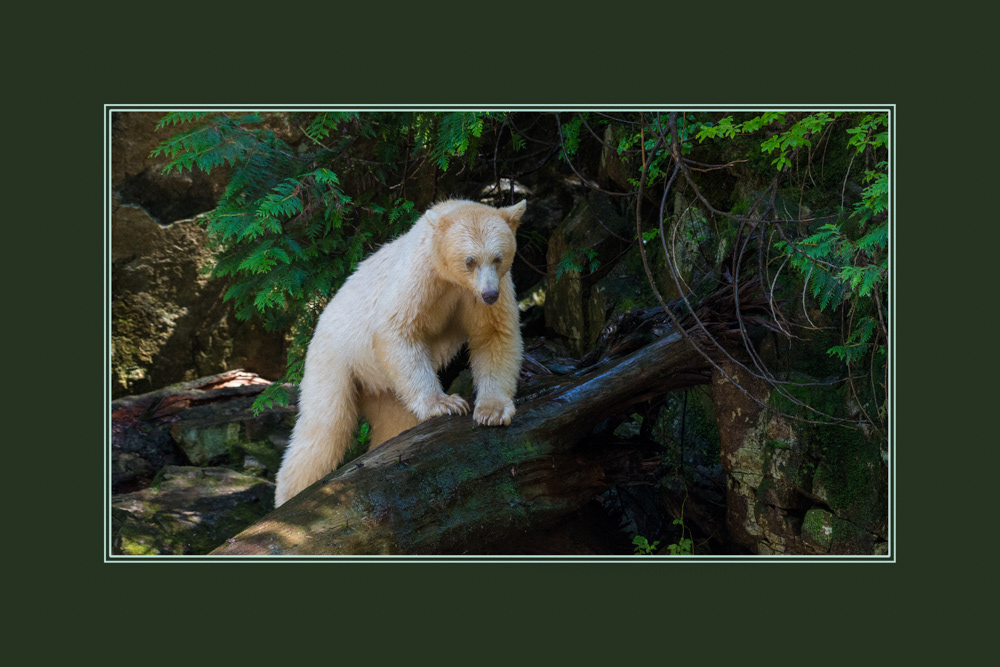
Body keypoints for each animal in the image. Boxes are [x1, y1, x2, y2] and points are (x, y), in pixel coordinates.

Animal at [273, 198, 527, 507]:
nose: (489, 294)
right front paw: (446, 404)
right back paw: (289, 495)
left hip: (387, 389)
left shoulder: (487, 292)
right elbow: (396, 329)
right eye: (470, 260)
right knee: (325, 427)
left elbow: (494, 334)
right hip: (334, 359)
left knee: (394, 423)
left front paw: (492, 412)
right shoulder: (419, 275)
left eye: (498, 258)